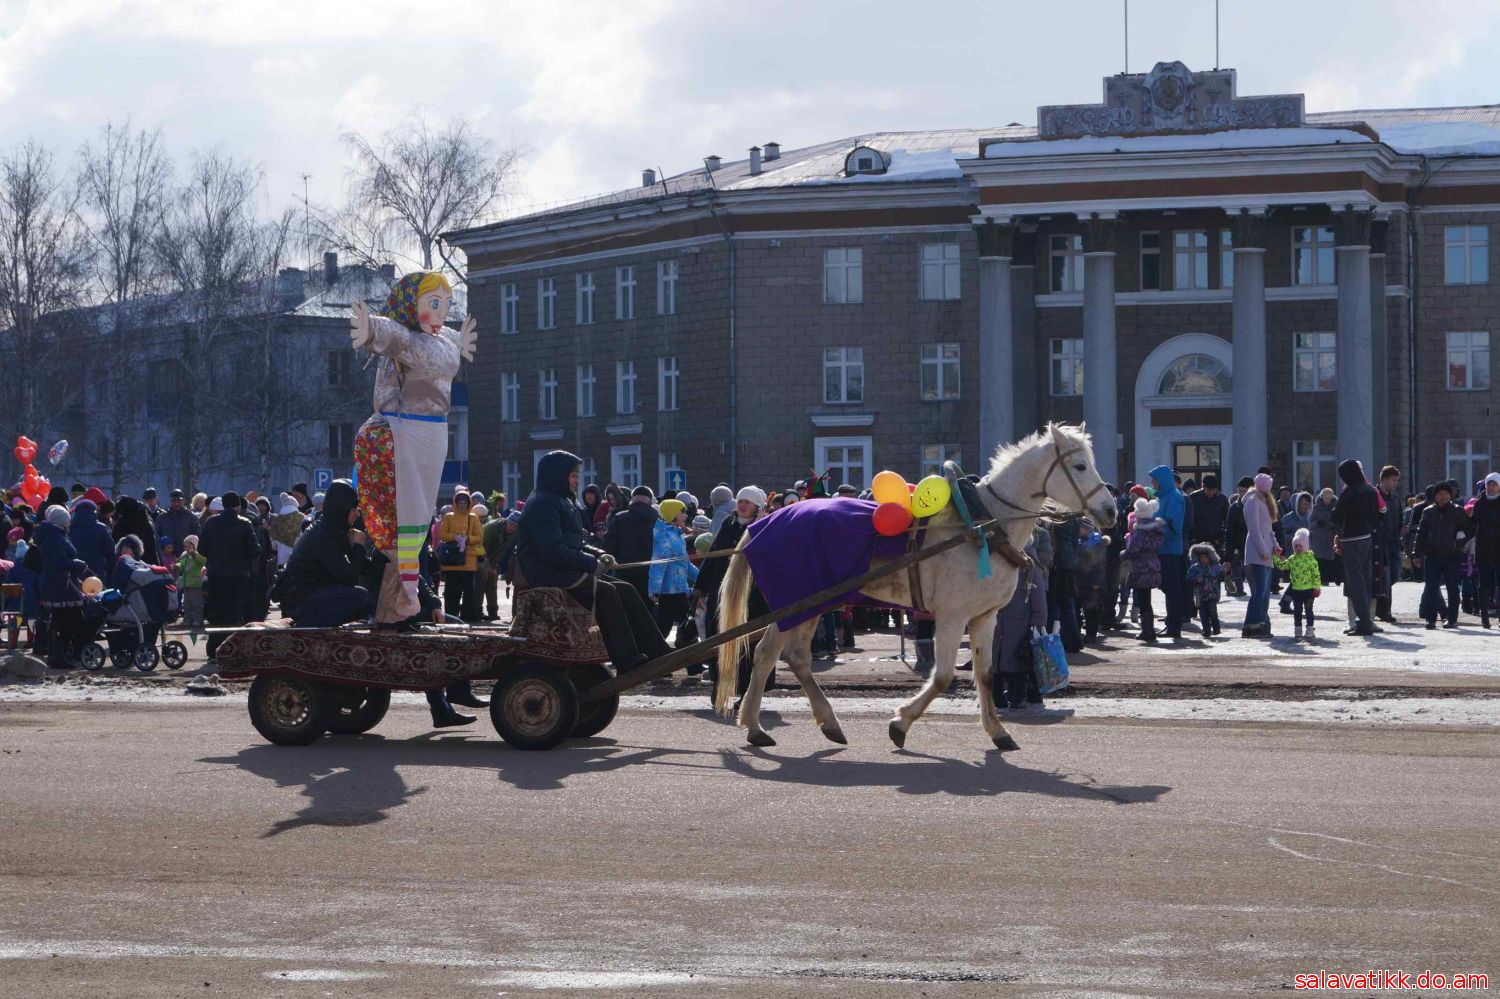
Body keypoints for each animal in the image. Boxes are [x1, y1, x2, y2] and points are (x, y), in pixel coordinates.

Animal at [714, 423, 1116, 750]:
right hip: (796, 603)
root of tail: (764, 523)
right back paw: (757, 725)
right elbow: (942, 677)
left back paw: (818, 722)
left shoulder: (984, 617)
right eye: (1080, 466)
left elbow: (986, 674)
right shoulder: (952, 616)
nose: (1111, 510)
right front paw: (901, 723)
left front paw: (997, 730)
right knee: (768, 653)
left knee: (792, 656)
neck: (983, 525)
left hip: (810, 605)